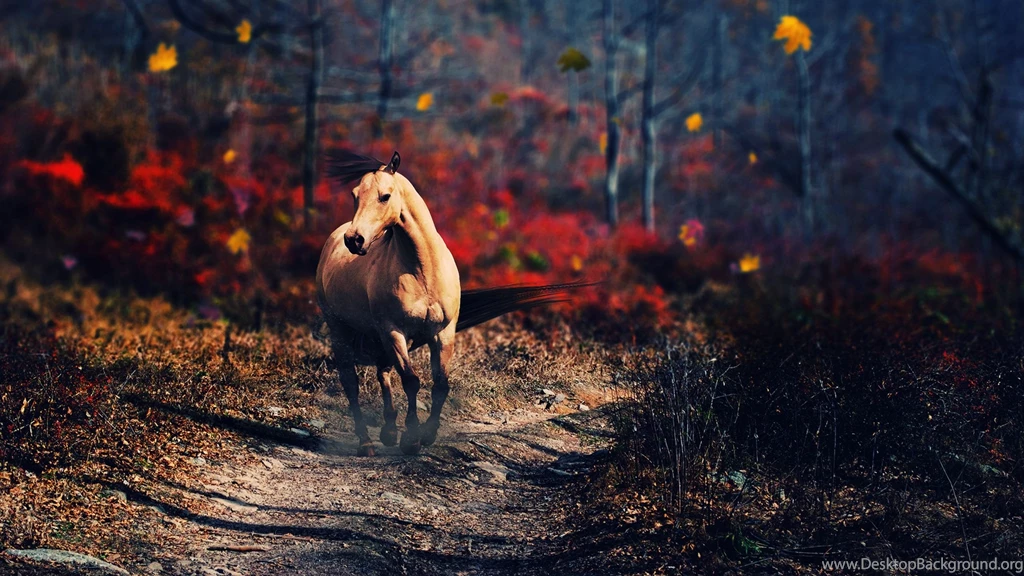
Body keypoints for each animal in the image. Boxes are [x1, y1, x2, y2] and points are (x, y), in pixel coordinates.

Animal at [317, 150, 588, 456]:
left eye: (384, 196)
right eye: (354, 195)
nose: (354, 240)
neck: (422, 270)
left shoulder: (442, 332)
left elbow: (441, 384)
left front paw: (426, 435)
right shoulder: (395, 331)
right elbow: (411, 381)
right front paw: (411, 439)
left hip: (378, 335)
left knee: (382, 372)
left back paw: (388, 432)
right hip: (342, 330)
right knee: (351, 382)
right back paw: (366, 442)